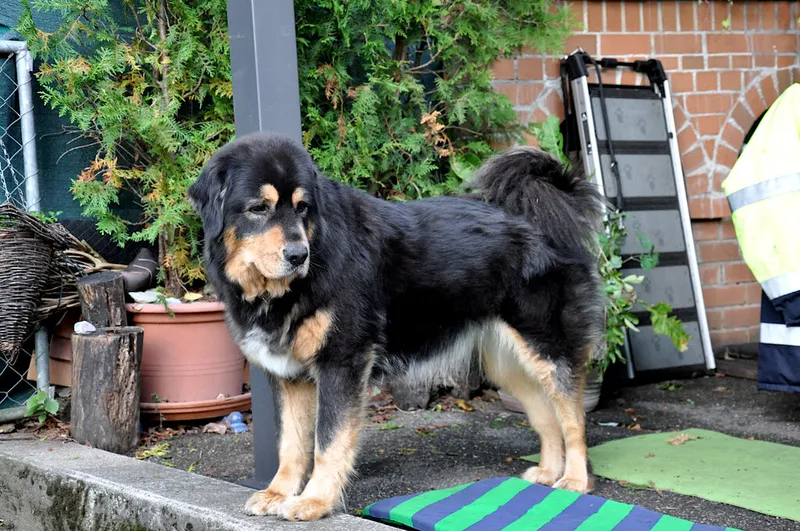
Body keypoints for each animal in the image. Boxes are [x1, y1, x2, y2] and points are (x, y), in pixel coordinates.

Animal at [188, 132, 605, 521]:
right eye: (258, 208)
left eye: (303, 208)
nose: (298, 255)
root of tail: (538, 215)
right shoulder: (290, 376)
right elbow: (291, 445)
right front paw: (278, 493)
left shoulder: (343, 362)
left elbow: (328, 442)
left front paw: (315, 501)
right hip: (510, 363)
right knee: (546, 417)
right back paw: (549, 473)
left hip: (548, 348)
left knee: (572, 418)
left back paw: (576, 480)